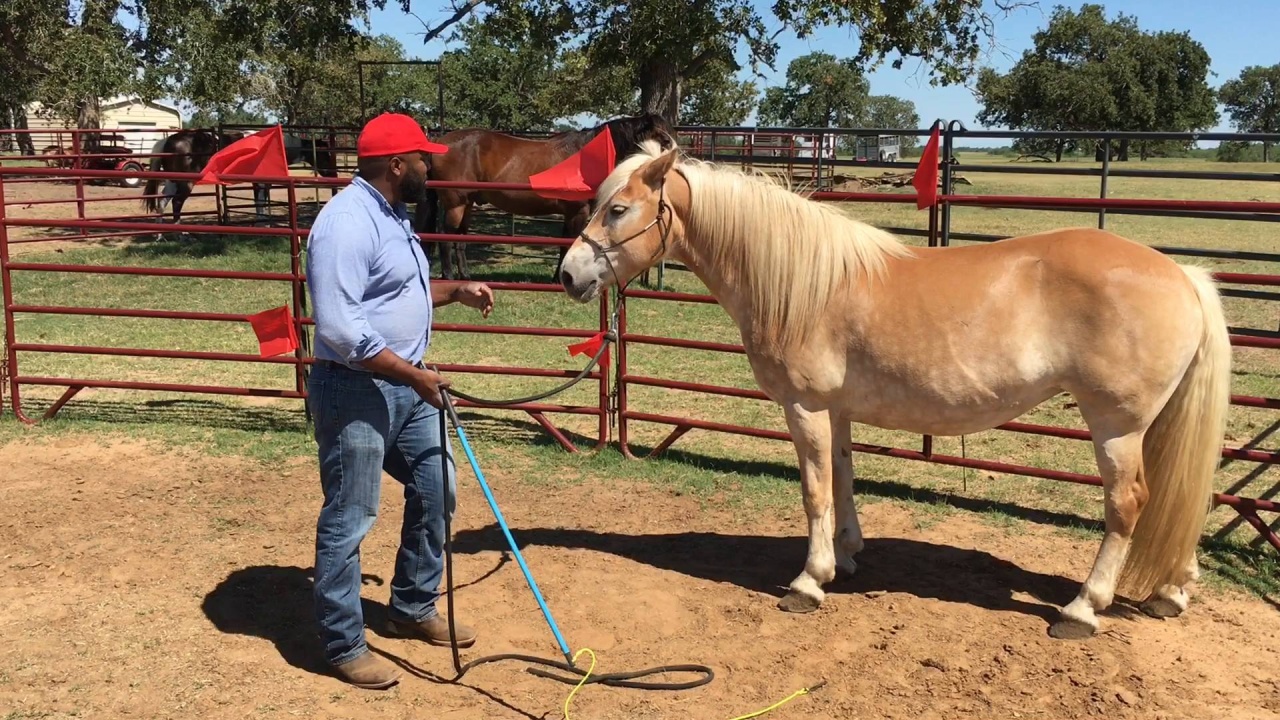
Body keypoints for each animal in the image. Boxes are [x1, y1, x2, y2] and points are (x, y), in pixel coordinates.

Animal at [416, 113, 677, 281]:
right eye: (662, 139)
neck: (585, 161)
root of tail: (440, 142)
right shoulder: (578, 212)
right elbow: (567, 244)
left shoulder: (570, 214)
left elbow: (564, 244)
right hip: (455, 203)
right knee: (445, 238)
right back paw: (449, 276)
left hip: (467, 204)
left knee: (460, 239)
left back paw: (465, 277)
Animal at [558, 140, 1232, 640]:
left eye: (617, 210)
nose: (567, 274)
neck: (803, 282)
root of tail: (1182, 274)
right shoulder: (836, 410)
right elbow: (843, 477)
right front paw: (848, 555)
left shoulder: (804, 407)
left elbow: (814, 491)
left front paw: (809, 581)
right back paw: (1172, 591)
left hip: (1116, 426)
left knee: (1128, 505)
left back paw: (1083, 609)